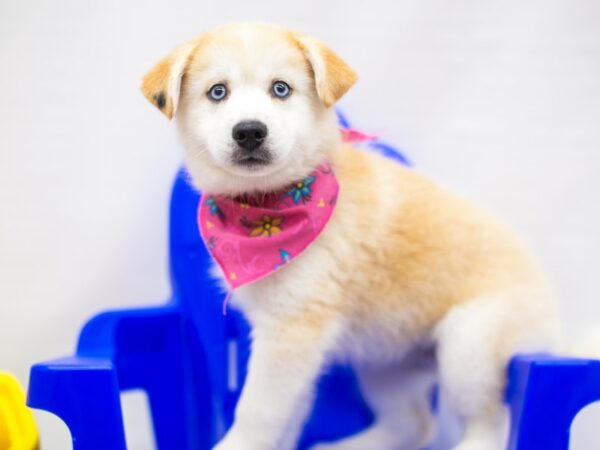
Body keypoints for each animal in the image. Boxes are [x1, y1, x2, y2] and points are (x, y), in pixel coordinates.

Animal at [141, 23, 564, 450]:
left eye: (281, 89)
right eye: (217, 92)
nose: (249, 132)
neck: (268, 205)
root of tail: (551, 321)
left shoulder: (292, 330)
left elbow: (258, 412)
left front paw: (236, 444)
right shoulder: (297, 343)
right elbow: (287, 418)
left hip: (470, 344)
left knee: (487, 424)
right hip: (387, 364)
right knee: (413, 423)